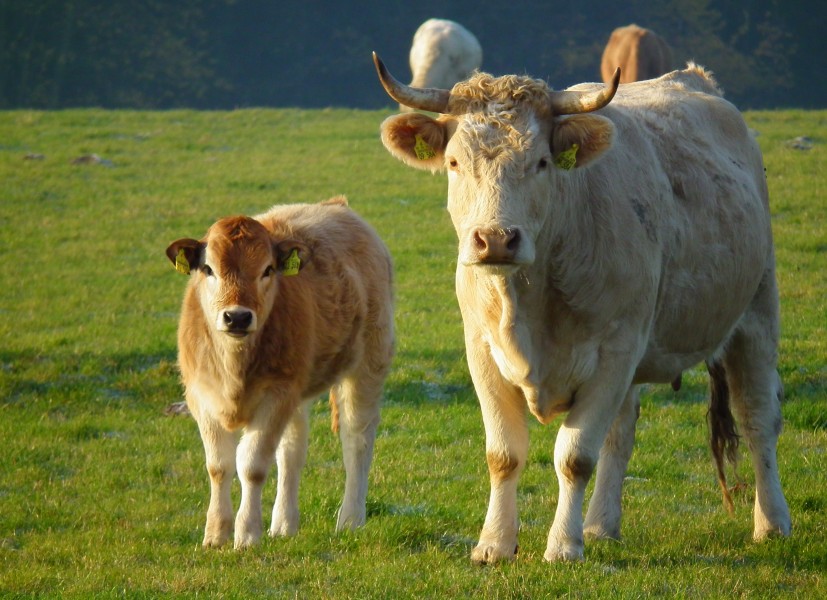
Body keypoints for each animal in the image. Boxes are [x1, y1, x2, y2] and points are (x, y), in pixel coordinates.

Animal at [165, 196, 394, 549]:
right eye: (208, 269)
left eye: (267, 270)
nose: (237, 317)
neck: (234, 367)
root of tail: (334, 205)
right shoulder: (201, 396)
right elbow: (218, 465)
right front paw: (215, 534)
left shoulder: (276, 394)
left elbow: (252, 465)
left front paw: (247, 534)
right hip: (297, 390)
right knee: (291, 452)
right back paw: (284, 524)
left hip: (368, 362)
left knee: (356, 439)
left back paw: (350, 520)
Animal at [372, 53, 791, 564]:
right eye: (453, 162)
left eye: (541, 162)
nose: (495, 239)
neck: (528, 303)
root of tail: (695, 79)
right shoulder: (481, 351)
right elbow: (503, 454)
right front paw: (494, 544)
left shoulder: (615, 351)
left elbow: (574, 457)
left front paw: (563, 546)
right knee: (622, 433)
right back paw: (601, 526)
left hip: (756, 312)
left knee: (757, 417)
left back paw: (772, 523)